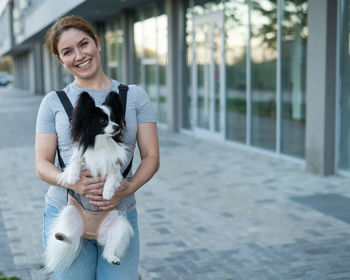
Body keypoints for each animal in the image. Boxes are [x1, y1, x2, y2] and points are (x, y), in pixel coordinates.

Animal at [45, 91, 134, 272]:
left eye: (115, 119)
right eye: (103, 121)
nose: (117, 127)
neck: (102, 142)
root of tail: (91, 234)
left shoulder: (114, 166)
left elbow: (112, 176)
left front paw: (107, 192)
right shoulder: (83, 158)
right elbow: (76, 162)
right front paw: (72, 176)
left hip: (119, 226)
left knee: (107, 250)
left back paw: (113, 258)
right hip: (70, 213)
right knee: (72, 239)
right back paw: (62, 236)